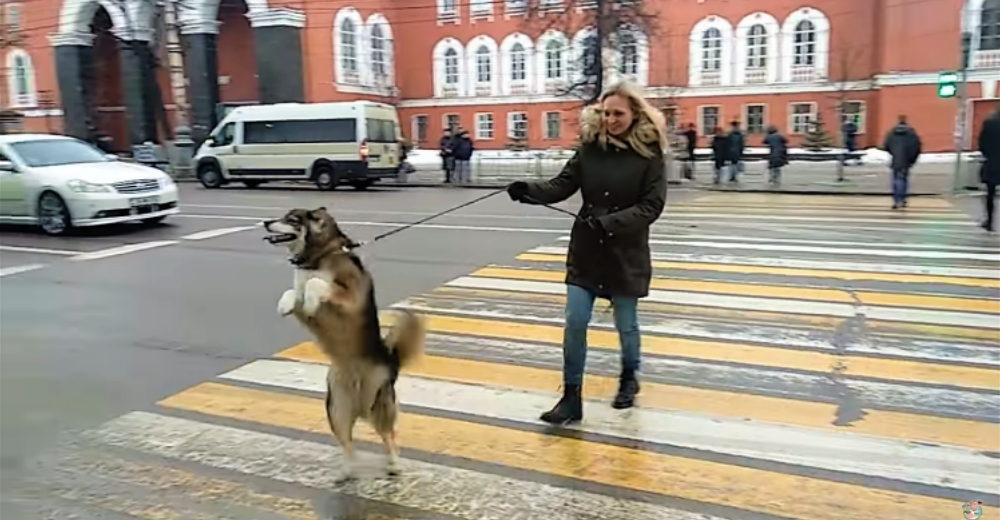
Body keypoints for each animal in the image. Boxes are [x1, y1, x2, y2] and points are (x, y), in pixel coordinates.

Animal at [262, 205, 426, 482]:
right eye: (284, 216)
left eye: (292, 219)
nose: (265, 222)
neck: (322, 255)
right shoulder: (303, 305)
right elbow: (293, 292)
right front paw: (284, 305)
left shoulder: (348, 296)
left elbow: (317, 284)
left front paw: (311, 298)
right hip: (336, 410)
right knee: (348, 444)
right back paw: (347, 471)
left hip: (380, 405)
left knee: (389, 437)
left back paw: (393, 465)